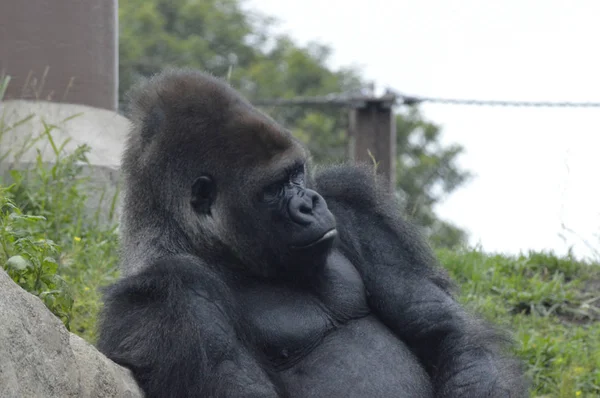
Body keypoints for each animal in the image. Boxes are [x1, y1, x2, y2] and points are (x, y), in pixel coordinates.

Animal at [96, 69, 528, 398]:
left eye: (296, 174)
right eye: (273, 189)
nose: (309, 204)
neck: (209, 246)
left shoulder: (352, 204)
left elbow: (447, 331)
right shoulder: (170, 288)